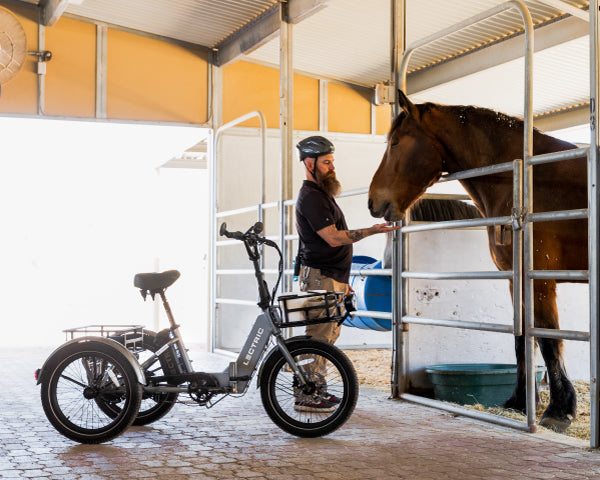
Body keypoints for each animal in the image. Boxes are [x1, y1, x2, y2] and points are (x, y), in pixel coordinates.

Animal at [368, 89, 588, 432]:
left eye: (395, 142)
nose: (373, 202)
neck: (525, 182)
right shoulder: (515, 278)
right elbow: (522, 339)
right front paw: (519, 403)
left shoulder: (539, 279)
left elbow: (548, 339)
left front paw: (558, 410)